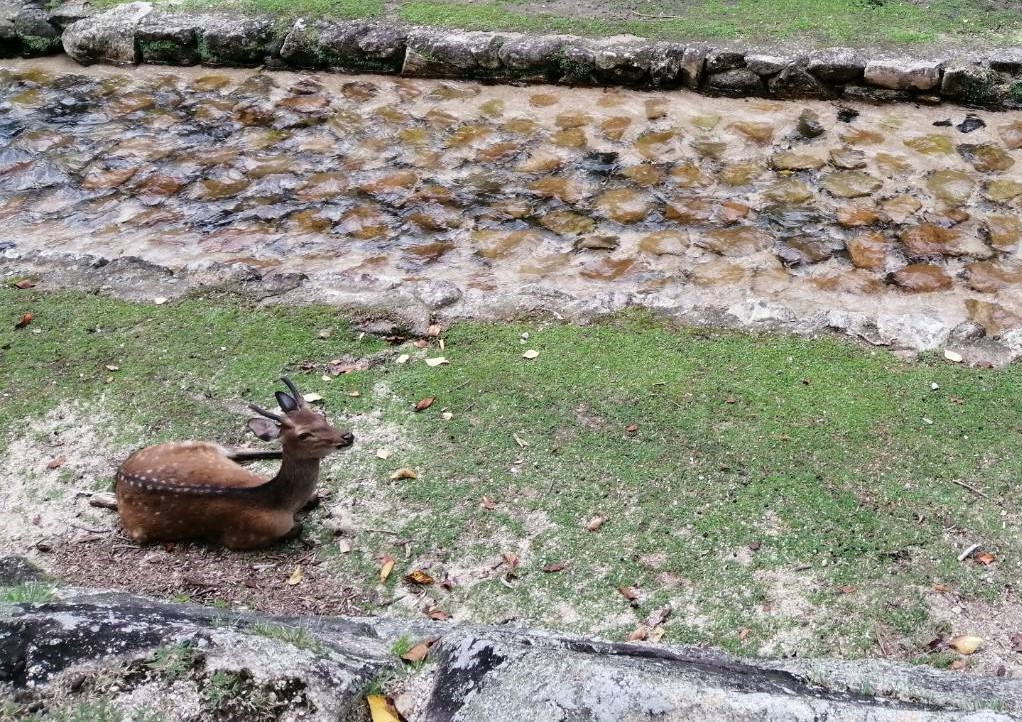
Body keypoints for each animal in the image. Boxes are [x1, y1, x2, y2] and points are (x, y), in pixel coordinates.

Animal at [115, 374, 353, 548]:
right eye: (304, 435)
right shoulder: (244, 537)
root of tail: (120, 473)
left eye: (321, 416)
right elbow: (298, 527)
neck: (282, 505)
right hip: (138, 531)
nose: (347, 436)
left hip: (197, 444)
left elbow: (314, 498)